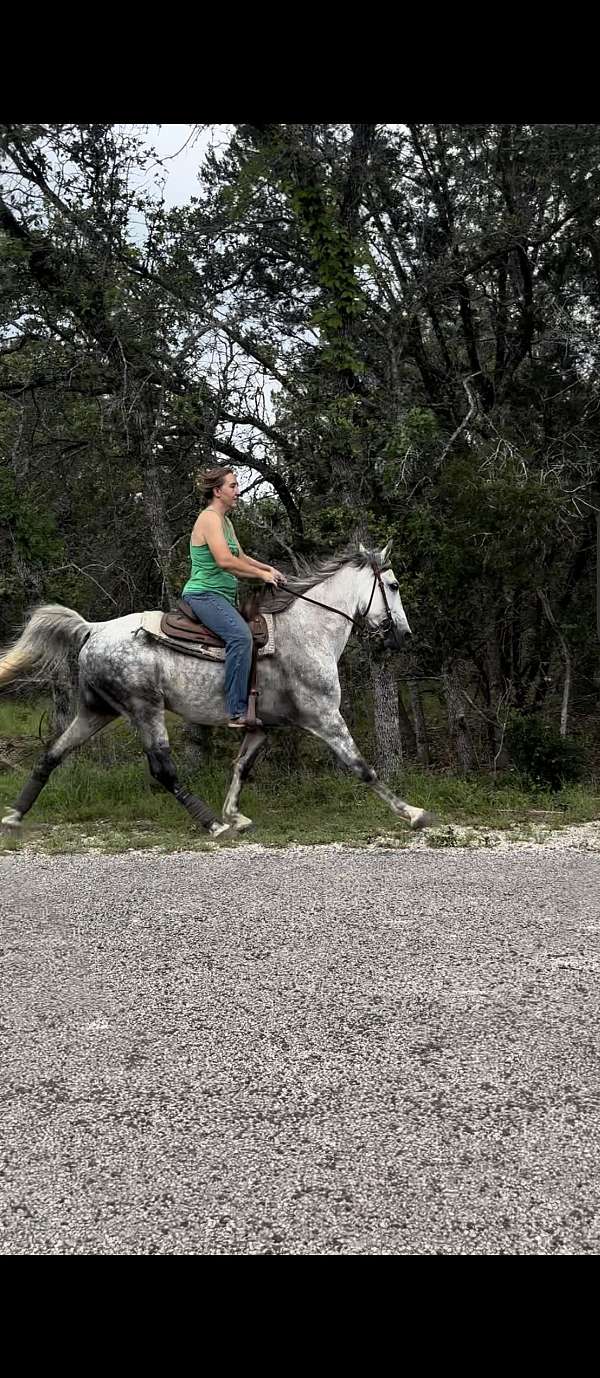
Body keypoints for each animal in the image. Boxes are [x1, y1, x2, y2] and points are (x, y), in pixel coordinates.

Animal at [0, 542, 433, 832]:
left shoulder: (262, 728)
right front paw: (411, 812)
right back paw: (210, 823)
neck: (308, 631)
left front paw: (235, 815)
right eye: (393, 585)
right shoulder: (325, 717)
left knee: (51, 754)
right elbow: (363, 768)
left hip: (97, 711)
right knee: (163, 770)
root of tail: (95, 628)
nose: (405, 635)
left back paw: (15, 815)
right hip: (144, 709)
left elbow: (240, 766)